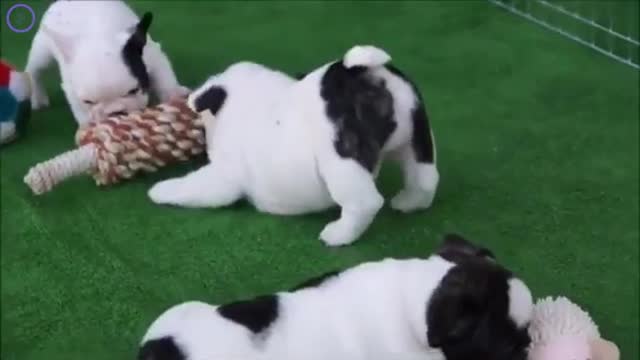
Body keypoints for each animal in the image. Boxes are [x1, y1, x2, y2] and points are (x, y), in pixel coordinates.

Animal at [25, 0, 190, 126]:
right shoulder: (70, 87)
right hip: (43, 51)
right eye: (88, 101)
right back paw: (38, 97)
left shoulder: (153, 55)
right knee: (34, 70)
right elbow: (78, 108)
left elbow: (164, 77)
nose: (114, 113)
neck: (100, 35)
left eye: (134, 90)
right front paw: (88, 126)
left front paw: (174, 93)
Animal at [149, 44, 440, 248]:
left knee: (364, 201)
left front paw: (159, 191)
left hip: (341, 161)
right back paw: (410, 202)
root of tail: (367, 76)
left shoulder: (223, 178)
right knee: (424, 177)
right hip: (417, 136)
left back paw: (339, 235)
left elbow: (193, 187)